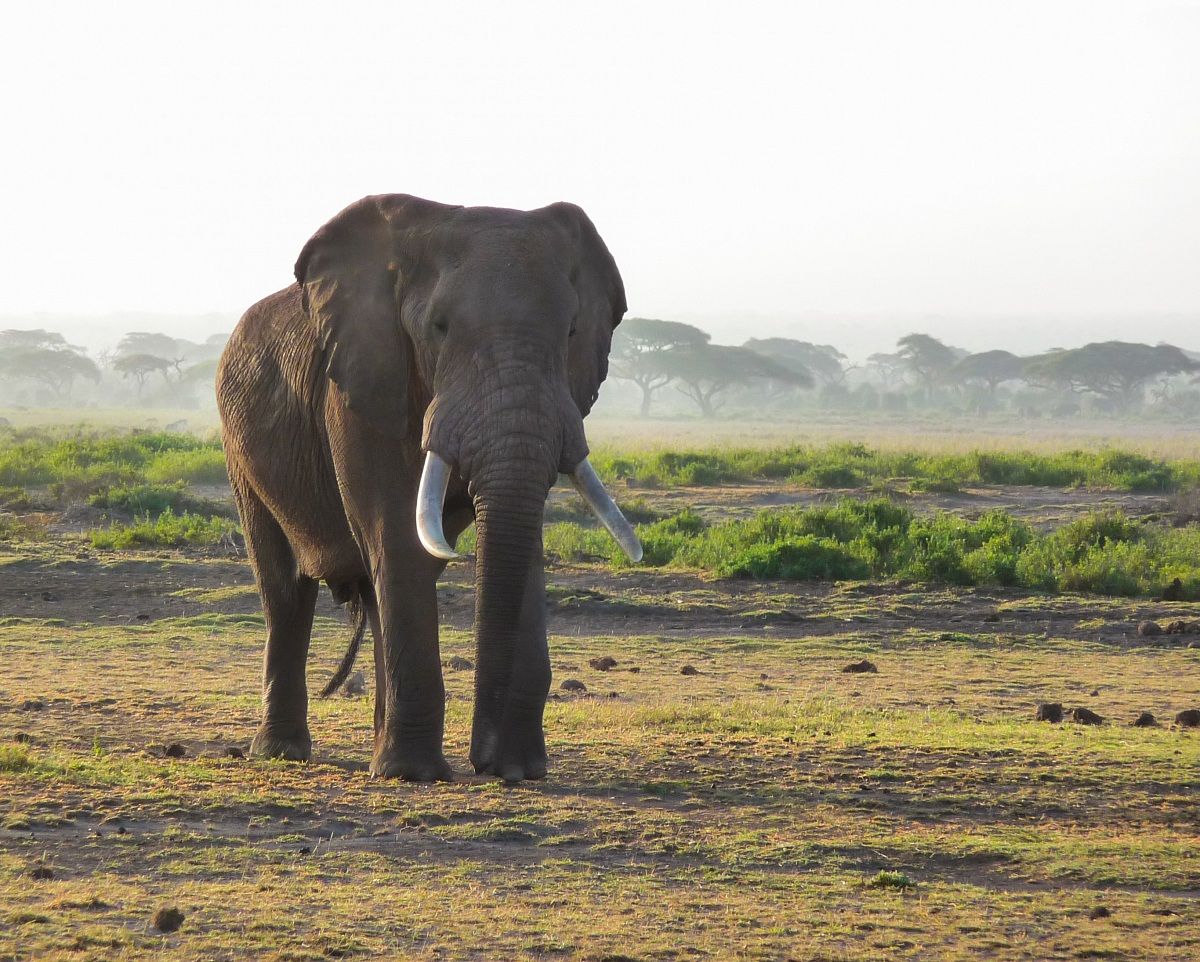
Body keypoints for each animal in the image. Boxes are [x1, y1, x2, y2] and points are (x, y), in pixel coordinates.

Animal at [216, 194, 641, 783]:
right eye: (439, 327)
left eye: (572, 332)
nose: (485, 763)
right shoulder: (361, 383)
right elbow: (399, 538)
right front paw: (414, 774)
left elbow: (522, 546)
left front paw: (521, 768)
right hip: (241, 452)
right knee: (285, 590)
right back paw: (285, 753)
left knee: (371, 594)